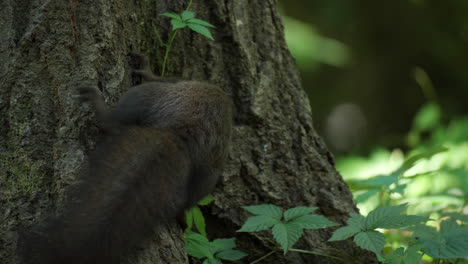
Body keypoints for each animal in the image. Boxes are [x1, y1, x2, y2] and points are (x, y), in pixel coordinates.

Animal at [16, 53, 234, 264]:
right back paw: (181, 216)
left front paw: (144, 68)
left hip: (146, 96)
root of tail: (182, 133)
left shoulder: (170, 81)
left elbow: (156, 77)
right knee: (187, 200)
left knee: (113, 123)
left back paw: (98, 104)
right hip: (205, 179)